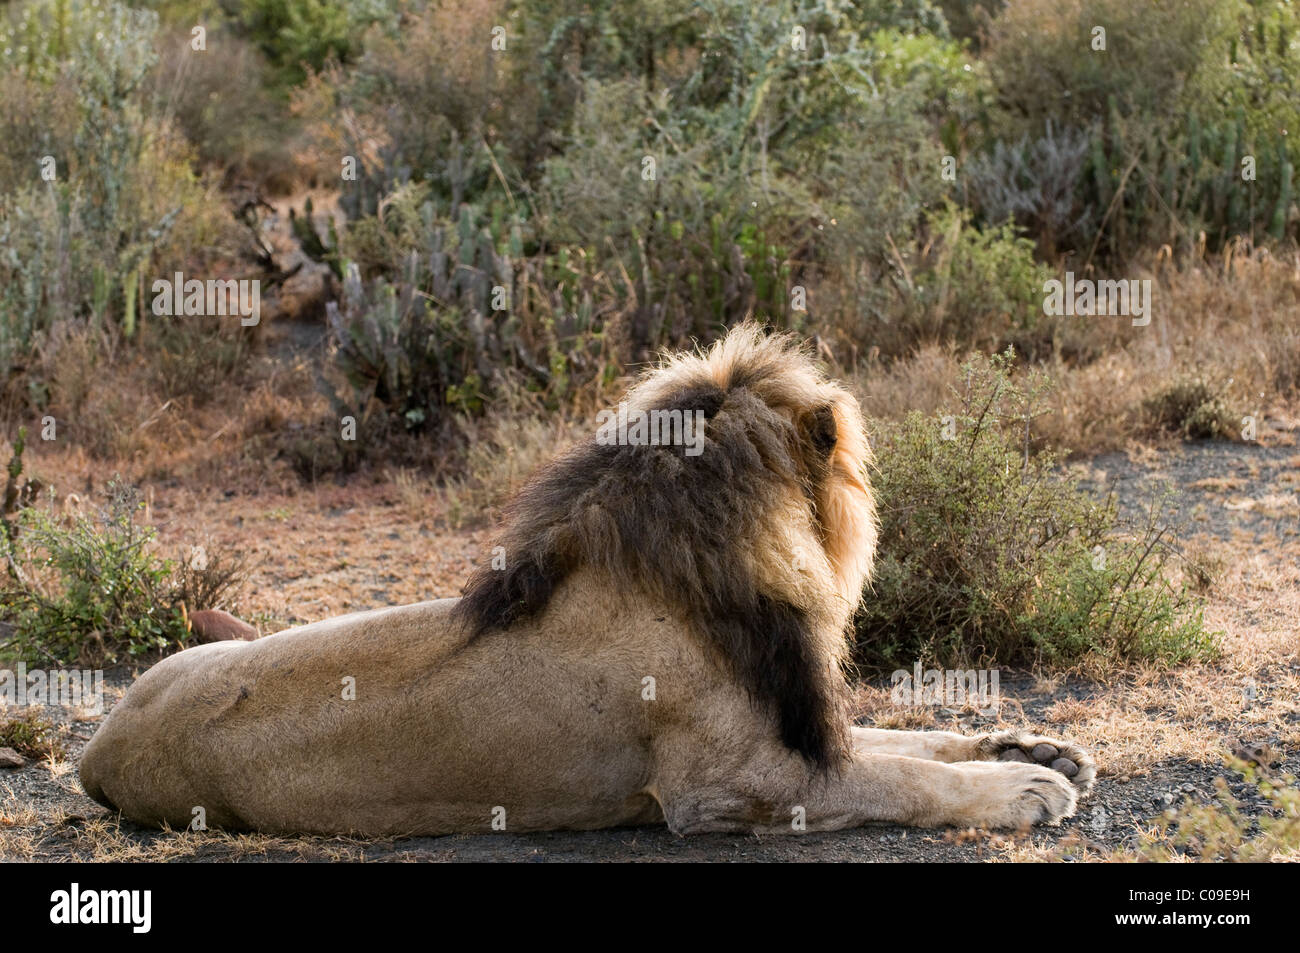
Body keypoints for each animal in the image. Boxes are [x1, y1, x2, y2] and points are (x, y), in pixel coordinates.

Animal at [79, 324, 1095, 836]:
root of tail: (94, 753)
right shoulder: (732, 784)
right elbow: (899, 777)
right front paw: (1020, 790)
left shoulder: (792, 724)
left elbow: (907, 735)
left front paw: (1034, 747)